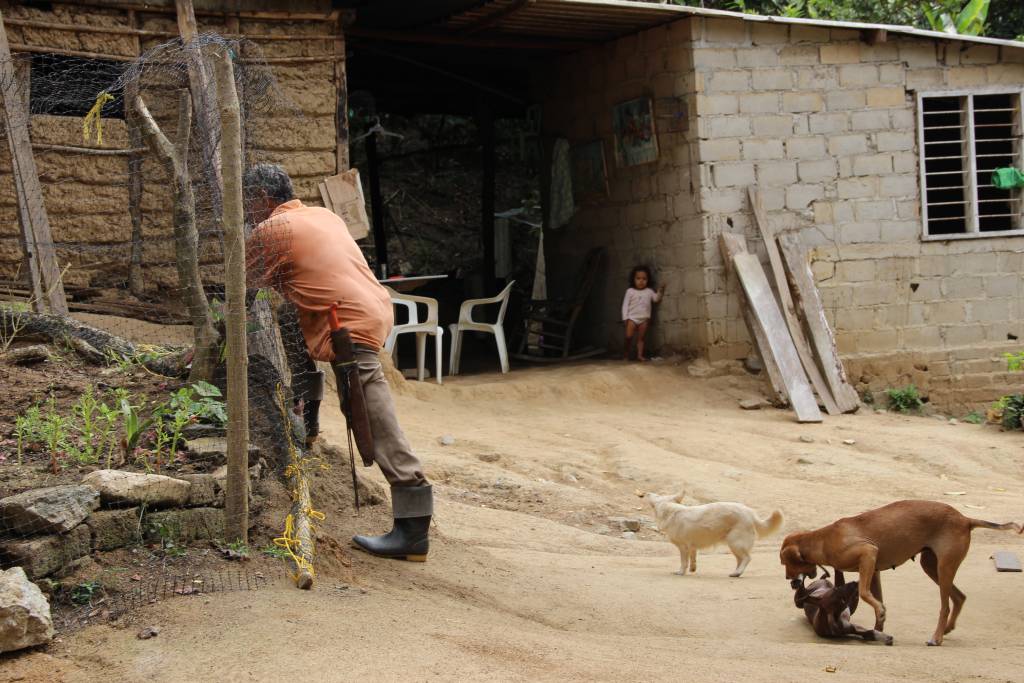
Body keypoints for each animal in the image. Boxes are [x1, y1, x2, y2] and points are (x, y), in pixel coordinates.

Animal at [647, 489, 782, 581]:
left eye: (657, 495)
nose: (646, 493)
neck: (671, 510)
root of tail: (750, 513)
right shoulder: (692, 547)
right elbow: (693, 559)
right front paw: (692, 569)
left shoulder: (683, 547)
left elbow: (683, 562)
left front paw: (681, 572)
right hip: (734, 545)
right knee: (740, 559)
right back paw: (736, 573)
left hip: (735, 543)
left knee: (747, 558)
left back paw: (738, 572)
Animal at [778, 499, 1019, 651]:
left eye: (784, 562)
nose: (790, 583)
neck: (821, 540)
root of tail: (965, 519)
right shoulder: (873, 570)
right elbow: (877, 602)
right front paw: (878, 629)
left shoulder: (869, 554)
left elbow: (864, 593)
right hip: (931, 566)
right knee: (960, 597)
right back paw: (948, 629)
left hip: (944, 568)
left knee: (945, 606)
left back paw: (937, 637)